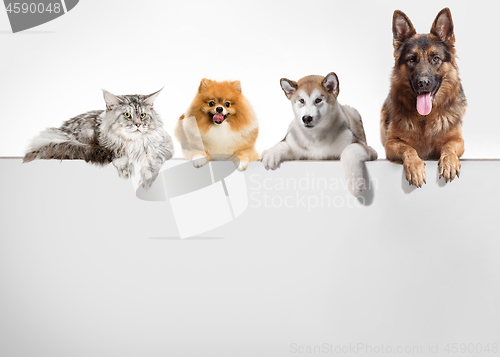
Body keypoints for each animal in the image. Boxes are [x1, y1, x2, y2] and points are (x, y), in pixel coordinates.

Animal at [24, 88, 175, 189]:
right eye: (127, 115)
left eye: (143, 115)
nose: (138, 124)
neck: (133, 143)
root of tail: (62, 130)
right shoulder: (108, 146)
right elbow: (120, 157)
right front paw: (126, 172)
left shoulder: (165, 146)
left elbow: (151, 162)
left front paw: (146, 180)